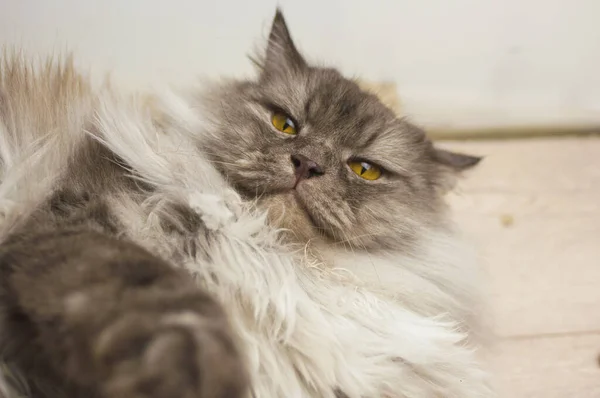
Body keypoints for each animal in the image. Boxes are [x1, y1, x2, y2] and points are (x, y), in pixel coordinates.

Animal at [0, 8, 492, 398]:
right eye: (284, 124)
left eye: (365, 169)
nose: (307, 164)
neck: (265, 254)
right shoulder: (85, 220)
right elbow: (178, 316)